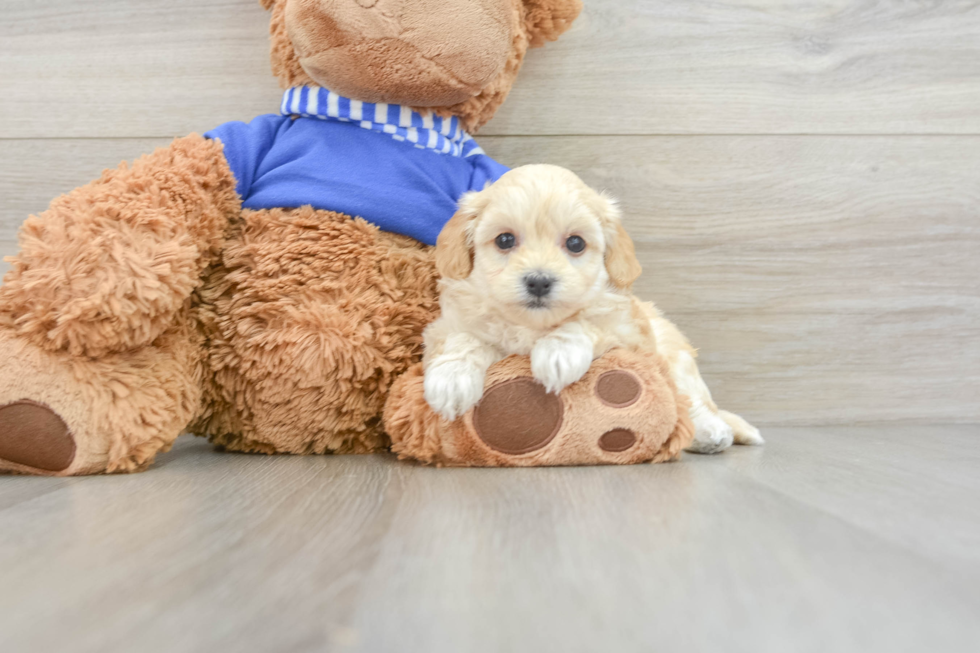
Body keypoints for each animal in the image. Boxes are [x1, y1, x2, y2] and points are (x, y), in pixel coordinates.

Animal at [422, 163, 764, 454]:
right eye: (504, 239)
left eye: (575, 244)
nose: (539, 282)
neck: (533, 325)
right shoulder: (446, 326)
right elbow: (464, 339)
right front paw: (452, 379)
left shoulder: (628, 332)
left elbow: (588, 321)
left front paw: (558, 353)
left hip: (675, 354)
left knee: (693, 400)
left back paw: (710, 432)